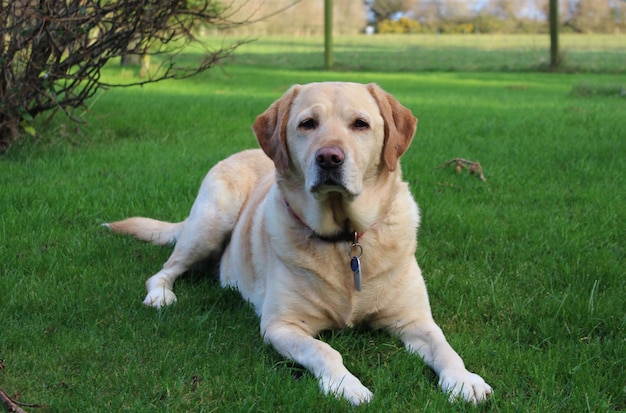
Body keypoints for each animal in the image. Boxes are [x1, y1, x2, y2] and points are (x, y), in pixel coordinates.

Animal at [105, 82, 490, 404]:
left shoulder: (415, 321)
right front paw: (346, 385)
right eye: (308, 123)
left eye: (360, 124)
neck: (345, 240)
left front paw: (464, 380)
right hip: (212, 220)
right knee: (165, 269)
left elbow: (445, 347)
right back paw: (161, 295)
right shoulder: (281, 325)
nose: (329, 157)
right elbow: (325, 351)